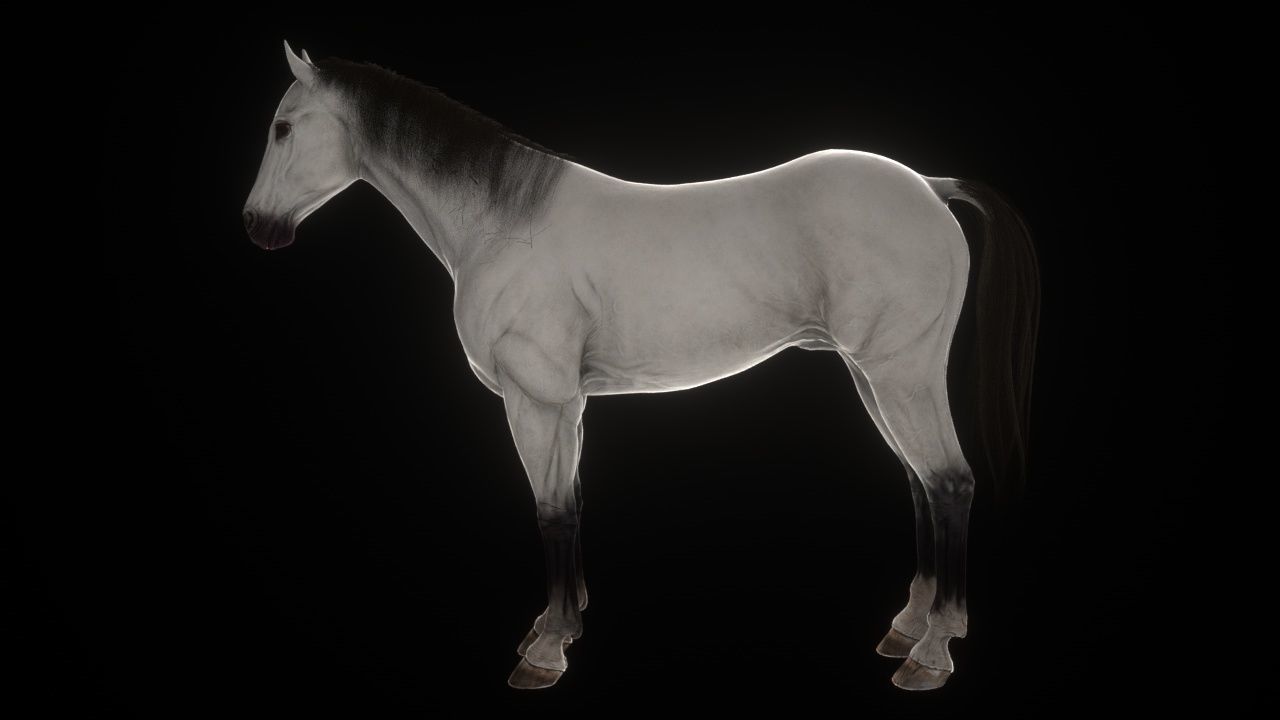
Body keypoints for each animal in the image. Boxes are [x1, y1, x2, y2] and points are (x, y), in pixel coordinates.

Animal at [242, 41, 1040, 691]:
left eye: (282, 128)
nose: (257, 226)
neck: (503, 225)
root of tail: (930, 186)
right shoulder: (568, 406)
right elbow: (571, 502)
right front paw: (558, 626)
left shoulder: (536, 400)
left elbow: (552, 512)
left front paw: (545, 654)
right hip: (874, 378)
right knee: (920, 485)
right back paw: (909, 626)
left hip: (901, 373)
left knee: (950, 483)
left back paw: (931, 653)